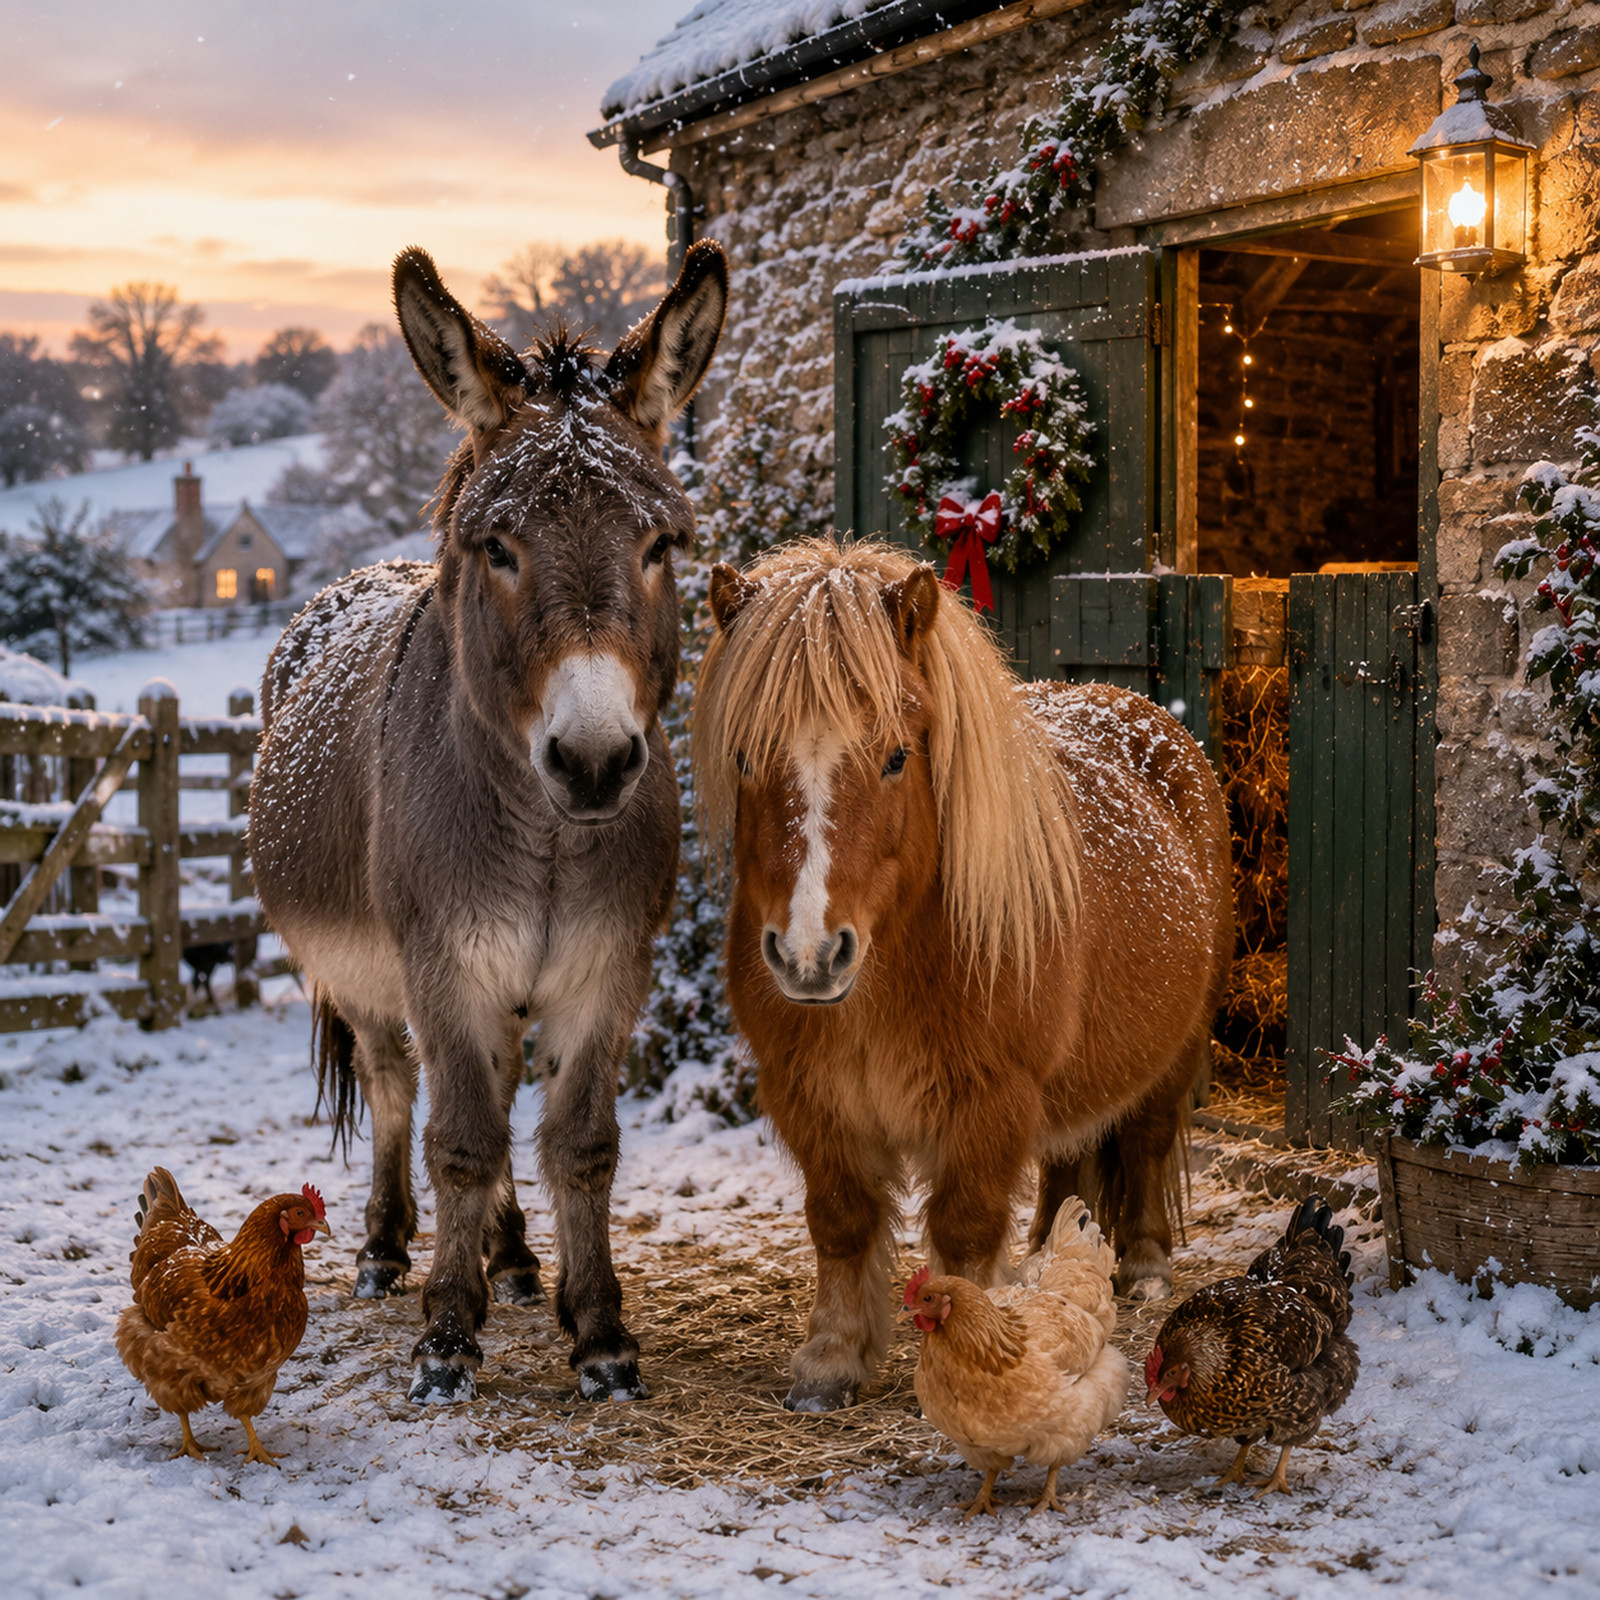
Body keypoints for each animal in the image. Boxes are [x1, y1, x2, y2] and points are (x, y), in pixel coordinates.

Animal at [249, 240, 727, 1404]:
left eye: (660, 544)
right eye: (498, 548)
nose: (594, 759)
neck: (546, 836)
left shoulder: (608, 965)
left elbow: (581, 1144)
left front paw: (599, 1335)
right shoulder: (443, 963)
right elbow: (459, 1138)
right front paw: (446, 1339)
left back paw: (513, 1260)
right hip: (363, 976)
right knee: (392, 1089)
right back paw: (387, 1249)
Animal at [695, 538, 1233, 1412]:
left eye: (895, 756)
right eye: (744, 756)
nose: (810, 953)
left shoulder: (989, 1100)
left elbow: (965, 1225)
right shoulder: (810, 1095)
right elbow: (841, 1221)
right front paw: (831, 1361)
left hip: (1175, 1048)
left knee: (1146, 1141)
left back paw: (1147, 1266)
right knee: (1066, 1164)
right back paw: (1048, 1260)